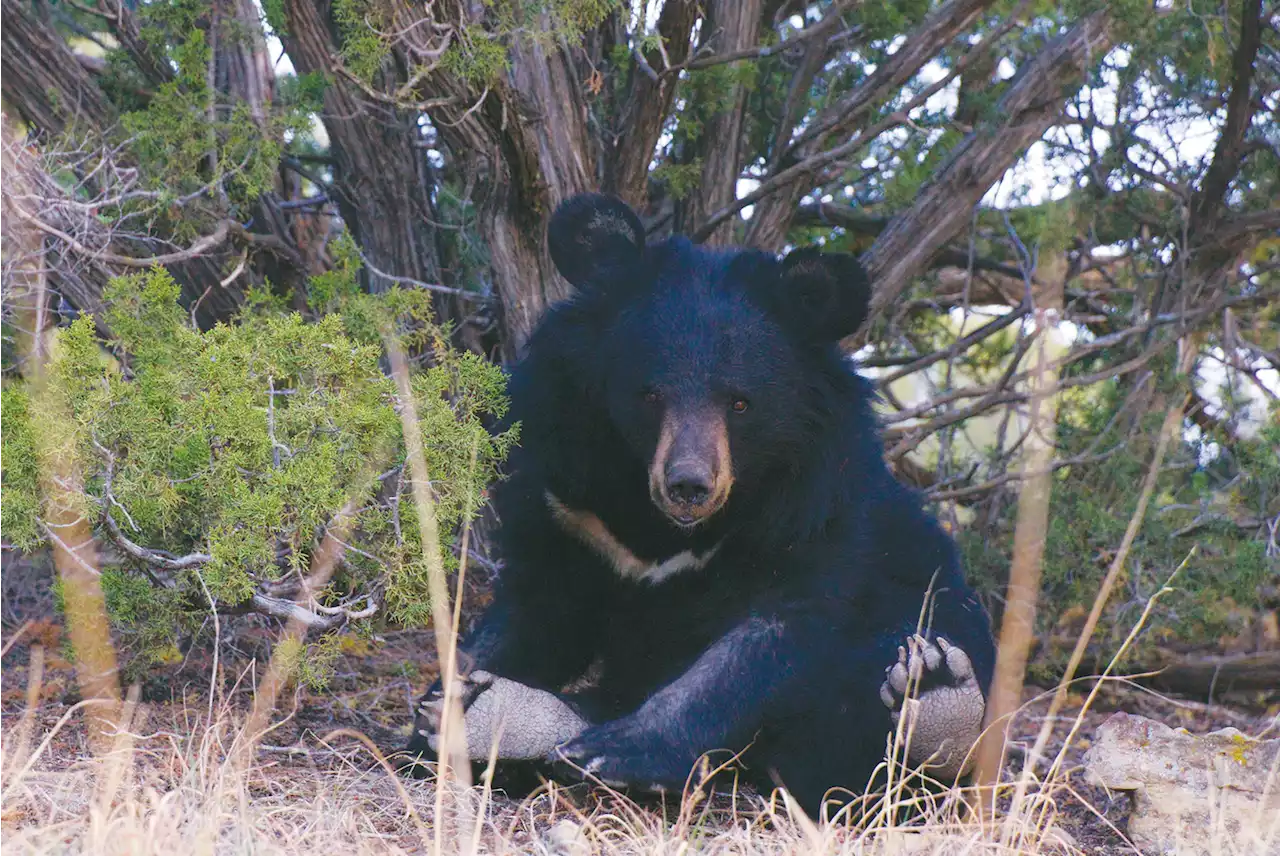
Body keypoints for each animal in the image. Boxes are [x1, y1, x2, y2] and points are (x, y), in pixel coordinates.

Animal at [404, 193, 993, 813]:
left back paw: (935, 698)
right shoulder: (568, 503)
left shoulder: (815, 513)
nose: (688, 485)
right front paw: (437, 710)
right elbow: (532, 611)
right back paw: (493, 716)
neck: (668, 530)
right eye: (650, 395)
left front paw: (620, 755)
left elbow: (764, 643)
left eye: (740, 403)